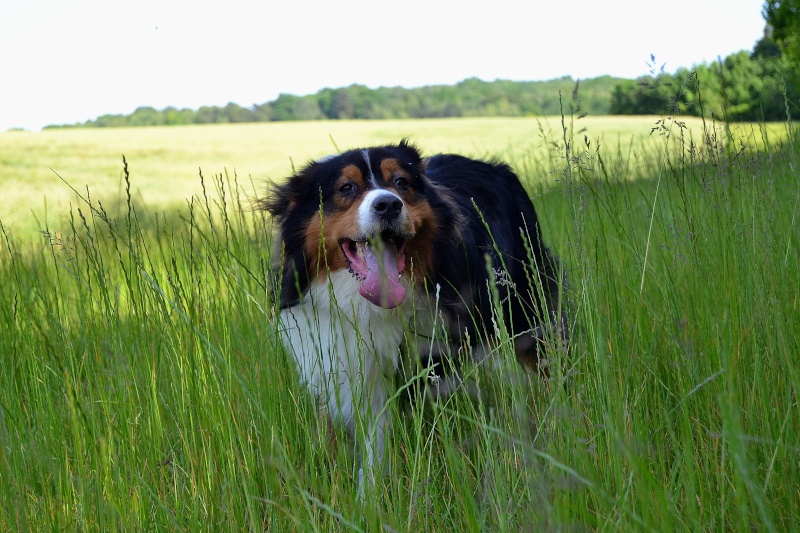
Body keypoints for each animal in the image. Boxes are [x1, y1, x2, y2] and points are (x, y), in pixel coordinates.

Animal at [262, 141, 564, 486]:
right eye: (346, 187)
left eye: (401, 182)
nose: (388, 205)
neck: (366, 307)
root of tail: (497, 166)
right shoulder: (335, 359)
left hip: (524, 305)